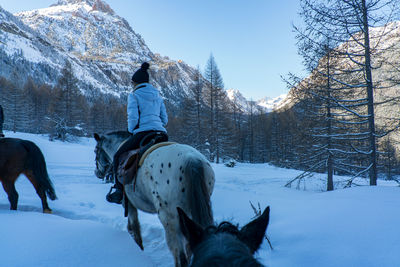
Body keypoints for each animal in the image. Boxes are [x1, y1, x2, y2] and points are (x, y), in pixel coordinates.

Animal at [93, 132, 216, 267]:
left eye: (96, 150)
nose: (97, 173)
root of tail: (192, 159)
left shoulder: (129, 204)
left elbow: (134, 229)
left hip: (169, 217)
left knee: (180, 255)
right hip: (188, 213)